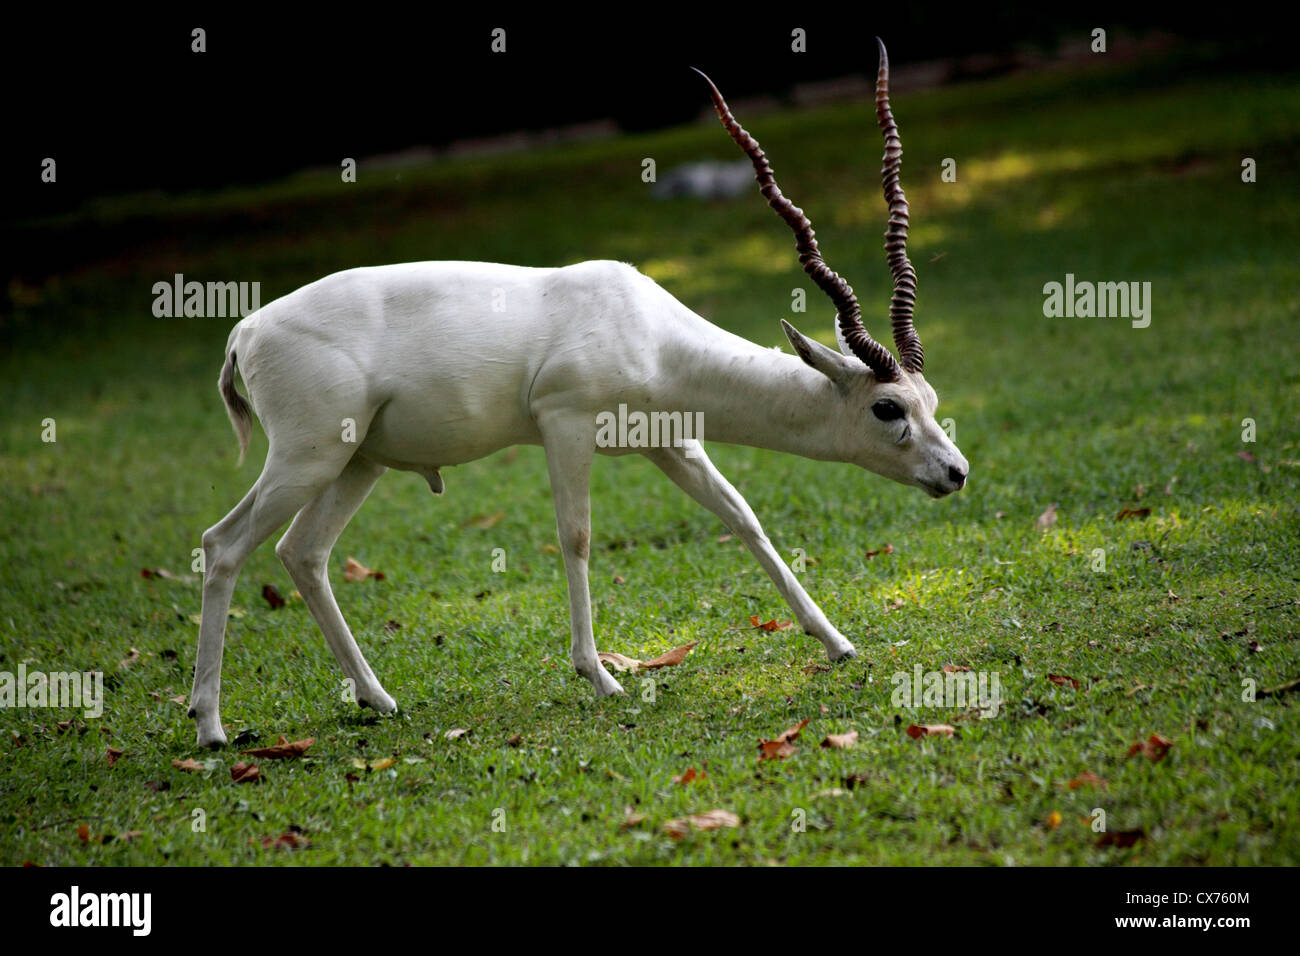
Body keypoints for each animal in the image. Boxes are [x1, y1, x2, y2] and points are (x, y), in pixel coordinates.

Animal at [189, 39, 968, 748]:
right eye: (887, 407)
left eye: (930, 399)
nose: (956, 472)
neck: (646, 330)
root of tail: (245, 330)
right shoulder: (564, 426)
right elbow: (577, 537)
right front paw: (600, 676)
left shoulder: (673, 443)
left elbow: (744, 518)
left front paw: (836, 642)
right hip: (308, 457)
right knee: (222, 544)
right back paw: (211, 727)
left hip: (358, 463)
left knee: (302, 553)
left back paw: (377, 700)